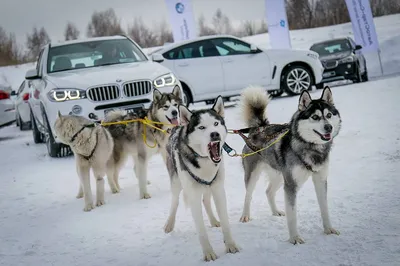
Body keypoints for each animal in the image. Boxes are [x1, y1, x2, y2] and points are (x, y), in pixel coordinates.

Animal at [163, 96, 239, 260]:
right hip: (177, 182)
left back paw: (213, 220)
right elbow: (201, 231)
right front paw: (208, 253)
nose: (215, 134)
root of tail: (177, 127)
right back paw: (169, 224)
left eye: (216, 123)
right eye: (202, 127)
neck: (205, 160)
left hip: (208, 186)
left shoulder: (218, 190)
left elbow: (225, 222)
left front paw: (230, 245)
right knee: (175, 202)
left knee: (206, 200)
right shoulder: (193, 196)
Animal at [239, 86, 342, 244]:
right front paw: (294, 238)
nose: (328, 127)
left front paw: (328, 229)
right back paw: (245, 215)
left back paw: (275, 211)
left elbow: (324, 208)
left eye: (329, 115)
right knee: (248, 196)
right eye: (315, 117)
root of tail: (259, 127)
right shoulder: (291, 185)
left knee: (268, 191)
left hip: (279, 175)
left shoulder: (320, 180)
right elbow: (292, 215)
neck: (310, 147)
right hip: (253, 175)